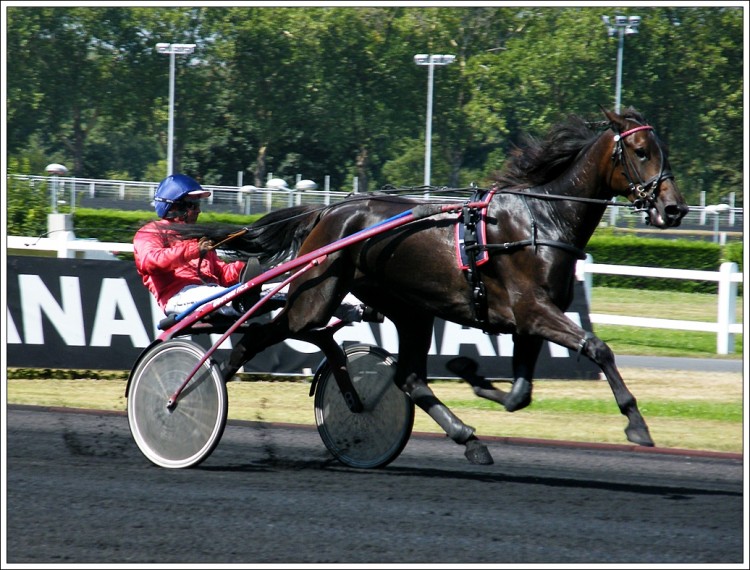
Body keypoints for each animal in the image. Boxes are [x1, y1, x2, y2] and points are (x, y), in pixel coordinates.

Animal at [179, 106, 692, 462]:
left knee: (408, 377)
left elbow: (520, 394)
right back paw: (195, 392)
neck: (540, 220)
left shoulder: (528, 321)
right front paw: (637, 424)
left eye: (664, 151)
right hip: (316, 295)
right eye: (641, 152)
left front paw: (470, 371)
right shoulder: (534, 310)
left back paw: (469, 439)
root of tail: (326, 211)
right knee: (263, 334)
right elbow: (598, 348)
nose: (674, 210)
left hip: (409, 307)